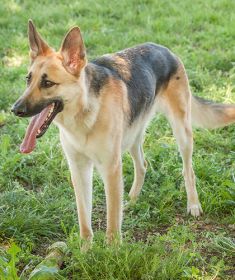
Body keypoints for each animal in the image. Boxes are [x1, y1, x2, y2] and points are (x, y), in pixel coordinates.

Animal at [11, 19, 235, 244]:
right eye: (28, 79)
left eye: (48, 83)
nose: (15, 109)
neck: (84, 114)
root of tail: (165, 49)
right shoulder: (79, 169)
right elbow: (84, 219)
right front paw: (85, 249)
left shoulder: (111, 169)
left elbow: (111, 221)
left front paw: (112, 250)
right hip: (132, 136)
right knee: (142, 165)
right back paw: (132, 200)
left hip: (182, 133)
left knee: (188, 170)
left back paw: (193, 204)